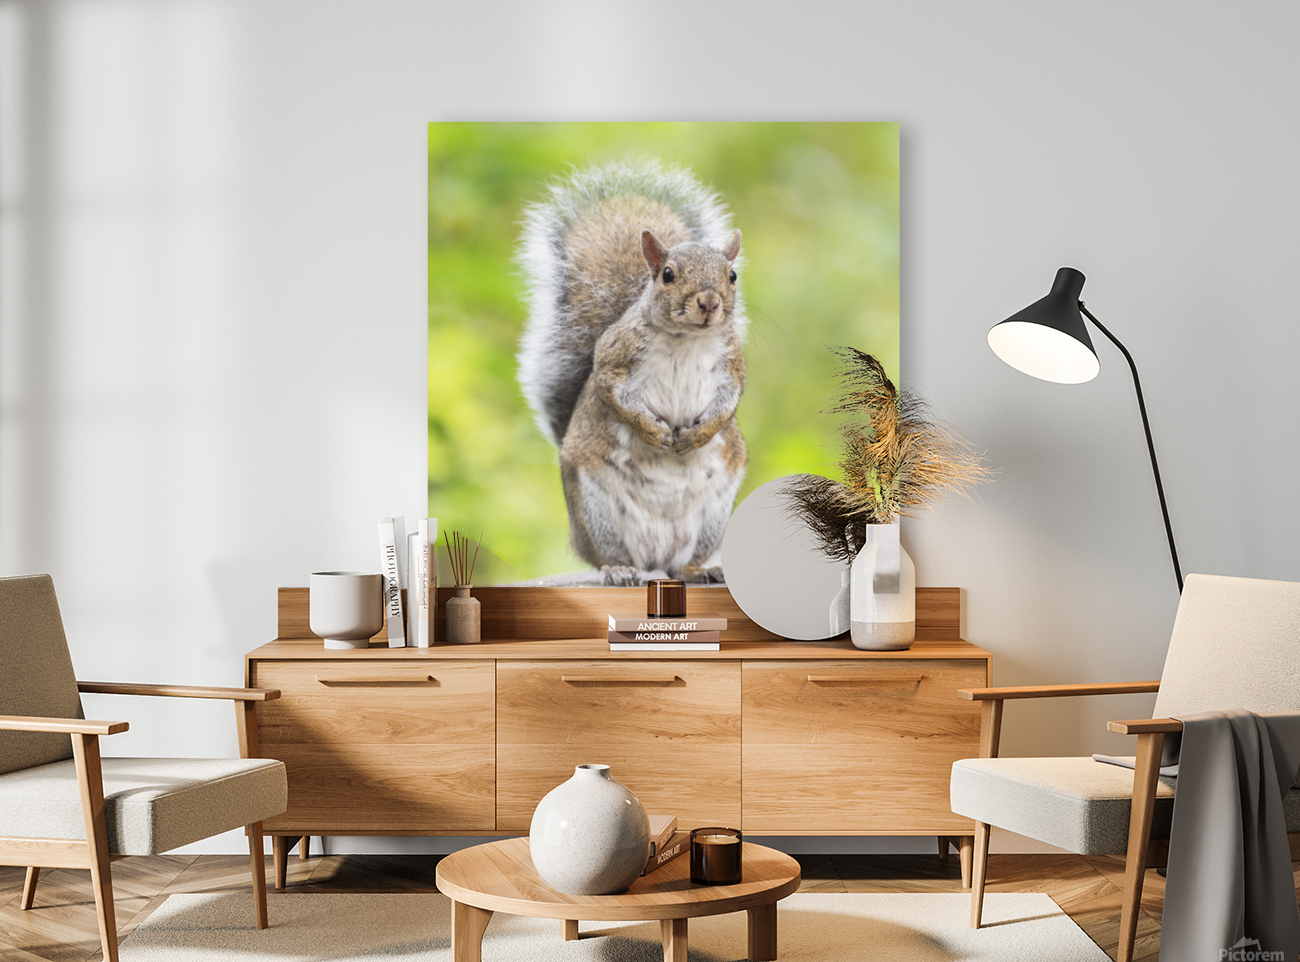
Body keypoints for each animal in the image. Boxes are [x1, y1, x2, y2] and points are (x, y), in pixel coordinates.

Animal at [517, 160, 747, 584]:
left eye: (733, 275)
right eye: (668, 274)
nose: (709, 302)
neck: (686, 341)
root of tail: (656, 558)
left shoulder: (732, 369)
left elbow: (727, 405)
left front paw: (697, 435)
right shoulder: (613, 359)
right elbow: (615, 396)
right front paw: (654, 433)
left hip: (715, 514)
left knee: (682, 562)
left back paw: (697, 570)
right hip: (596, 510)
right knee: (607, 554)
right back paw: (620, 569)